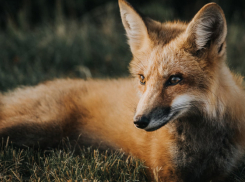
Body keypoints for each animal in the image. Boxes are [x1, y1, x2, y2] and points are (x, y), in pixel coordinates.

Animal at [0, 0, 245, 181]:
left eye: (175, 79)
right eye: (142, 79)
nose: (138, 121)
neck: (201, 145)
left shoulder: (223, 172)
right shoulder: (164, 171)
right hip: (39, 125)